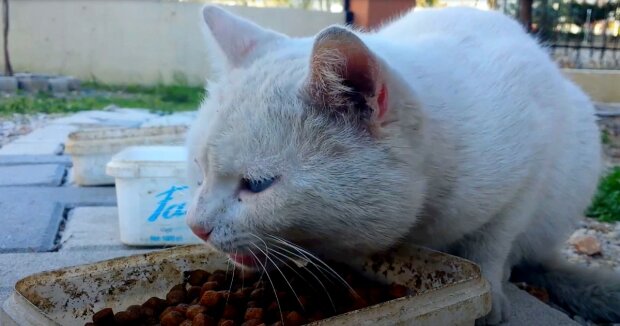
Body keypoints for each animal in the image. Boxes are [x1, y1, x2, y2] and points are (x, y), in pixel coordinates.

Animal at [186, 4, 616, 324]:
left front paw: (491, 294)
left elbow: (491, 243)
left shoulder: (532, 167)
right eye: (199, 172)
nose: (195, 227)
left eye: (258, 184)